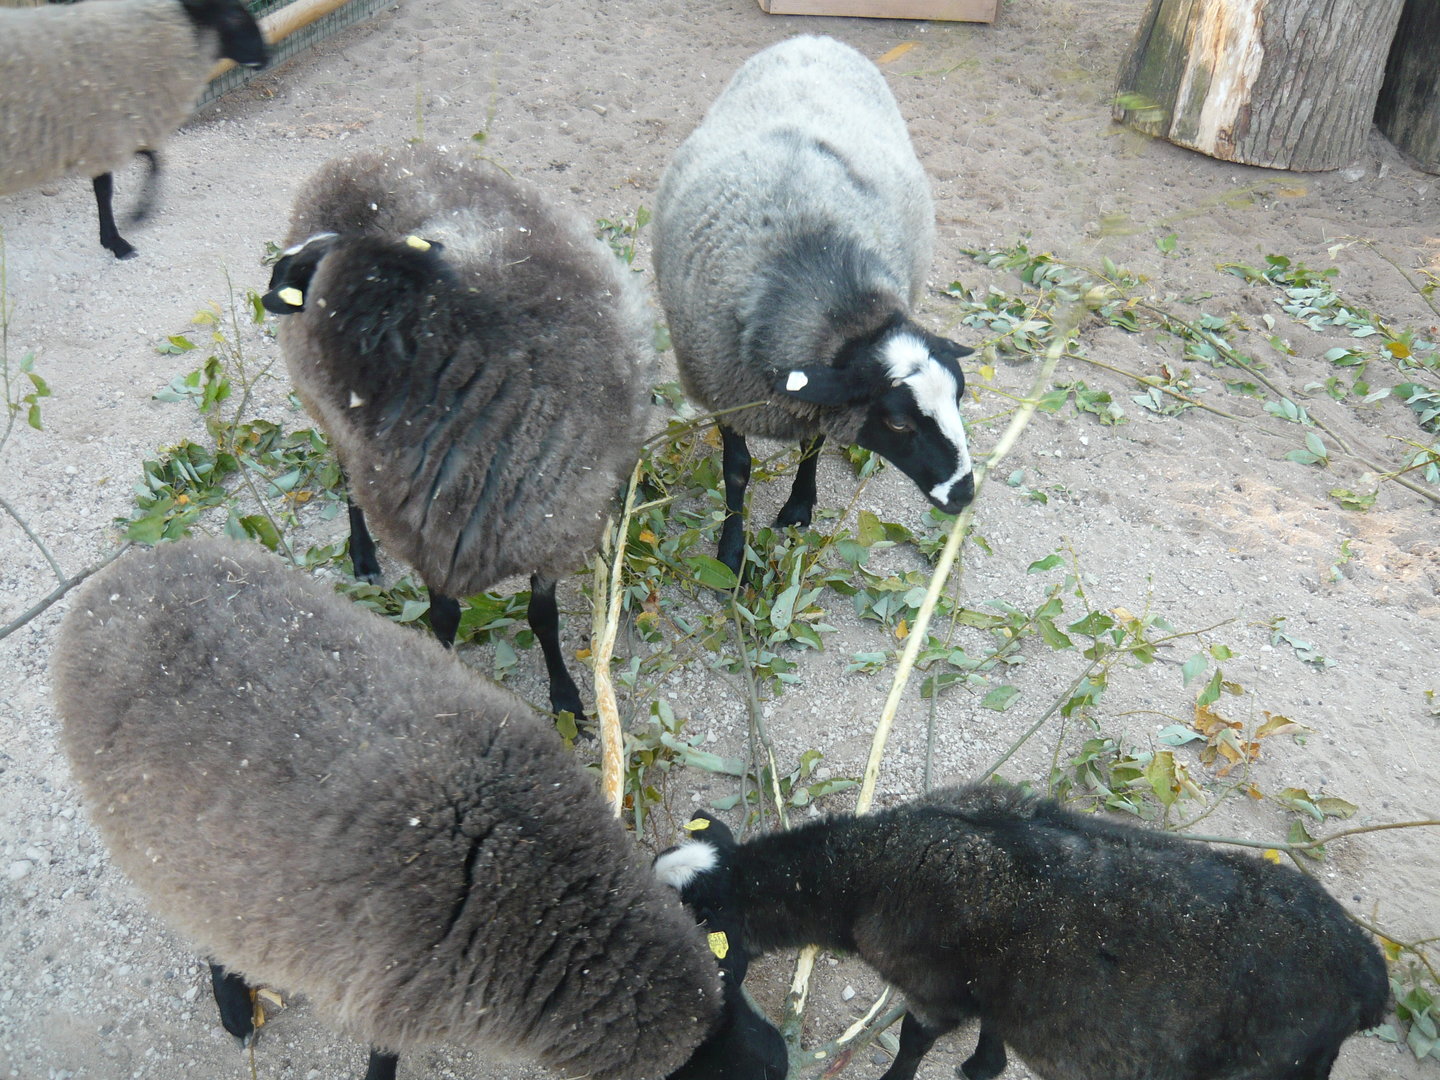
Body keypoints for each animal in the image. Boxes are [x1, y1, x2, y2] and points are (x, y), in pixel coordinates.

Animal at [0, 0, 268, 259]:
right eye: (234, 15)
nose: (267, 54)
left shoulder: (116, 128)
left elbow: (153, 159)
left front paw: (138, 214)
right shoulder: (104, 133)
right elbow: (106, 189)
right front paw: (118, 241)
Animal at [52, 536, 789, 1080]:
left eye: (739, 965)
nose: (781, 1056)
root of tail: (114, 582)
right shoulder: (390, 995)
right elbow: (383, 1061)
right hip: (160, 844)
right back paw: (234, 1003)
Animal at [261, 144, 655, 725]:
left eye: (308, 268)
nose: (272, 278)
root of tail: (353, 159)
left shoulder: (554, 529)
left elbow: (544, 617)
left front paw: (566, 697)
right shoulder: (430, 541)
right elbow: (443, 618)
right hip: (327, 412)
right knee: (348, 479)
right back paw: (363, 557)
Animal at [652, 35, 976, 575]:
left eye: (960, 396)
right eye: (898, 422)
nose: (965, 494)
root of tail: (814, 38)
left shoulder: (818, 400)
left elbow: (813, 447)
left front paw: (799, 507)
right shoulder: (723, 389)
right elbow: (736, 470)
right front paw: (731, 551)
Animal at [655, 783, 1389, 1080]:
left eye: (691, 920)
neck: (870, 870)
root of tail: (1369, 974)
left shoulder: (934, 990)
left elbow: (912, 1043)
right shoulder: (994, 987)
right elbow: (993, 1031)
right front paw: (982, 1067)